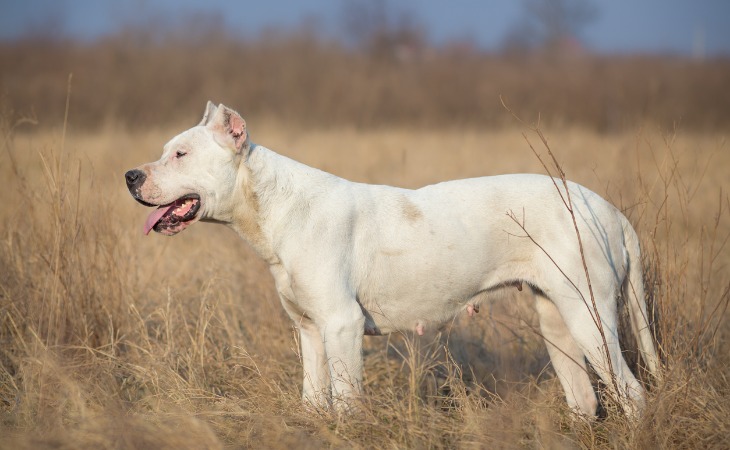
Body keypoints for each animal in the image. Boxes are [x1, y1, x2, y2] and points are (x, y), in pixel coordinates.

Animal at [126, 102, 660, 418]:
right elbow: (314, 400)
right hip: (558, 324)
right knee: (585, 397)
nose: (130, 175)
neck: (276, 206)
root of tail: (607, 209)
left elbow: (345, 403)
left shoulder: (340, 326)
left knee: (632, 393)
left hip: (589, 318)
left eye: (180, 154)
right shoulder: (310, 332)